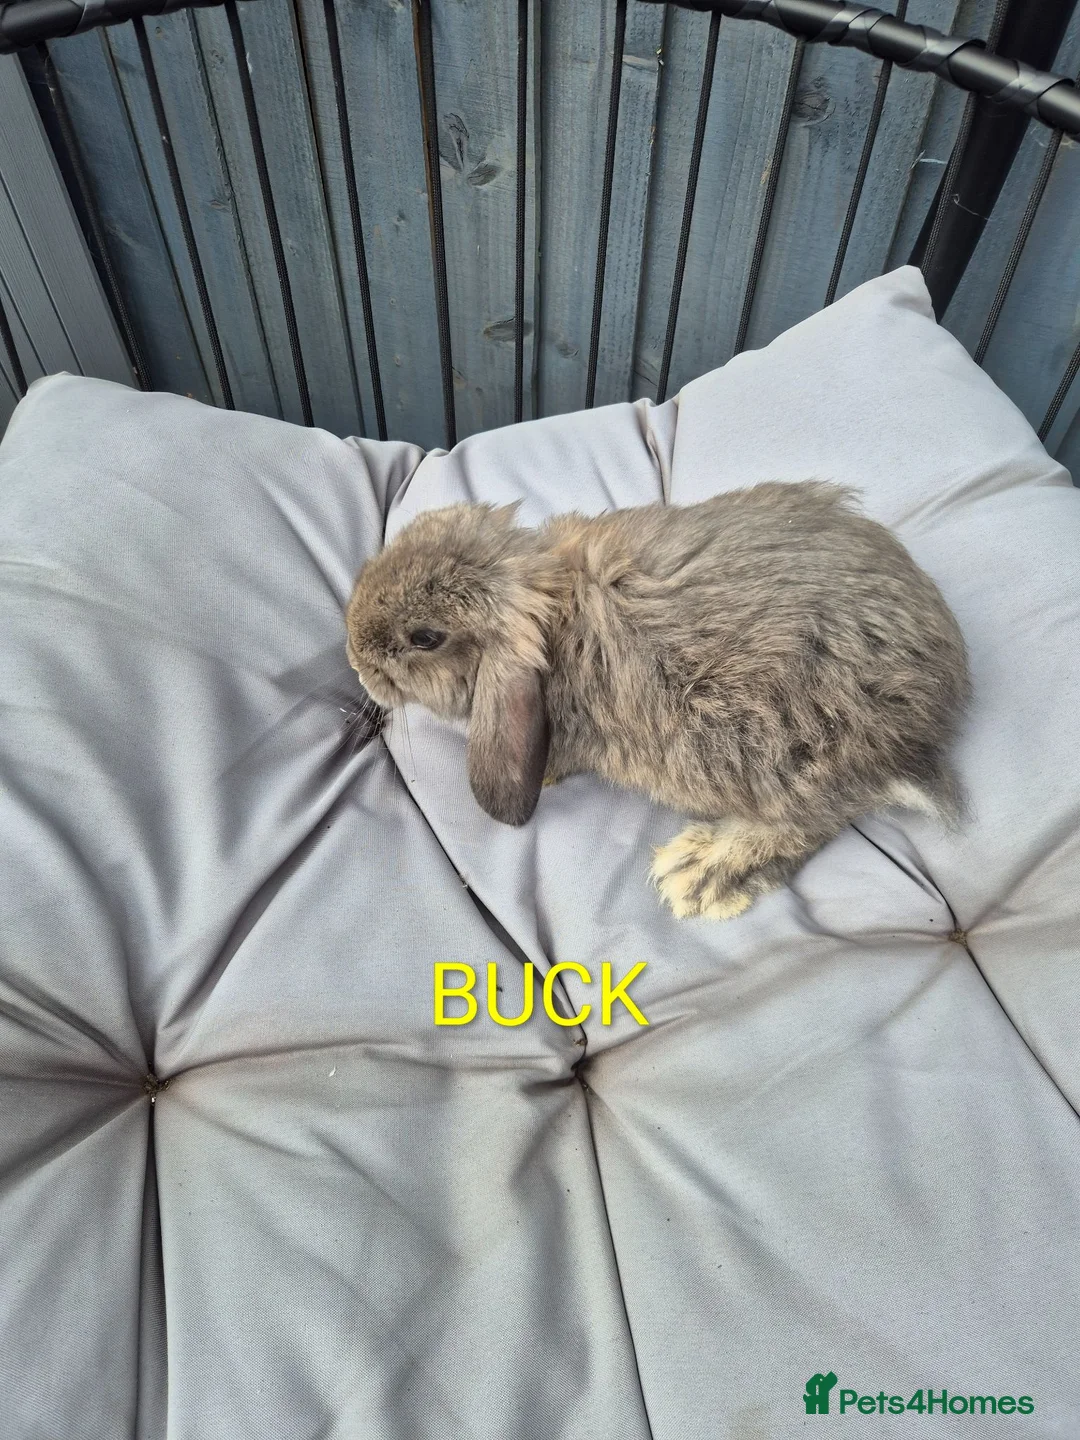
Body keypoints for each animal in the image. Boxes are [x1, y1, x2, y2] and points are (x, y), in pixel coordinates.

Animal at [345, 483, 970, 920]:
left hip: (793, 762)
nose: (354, 659)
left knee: (816, 820)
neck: (557, 607)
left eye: (425, 638)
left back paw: (697, 875)